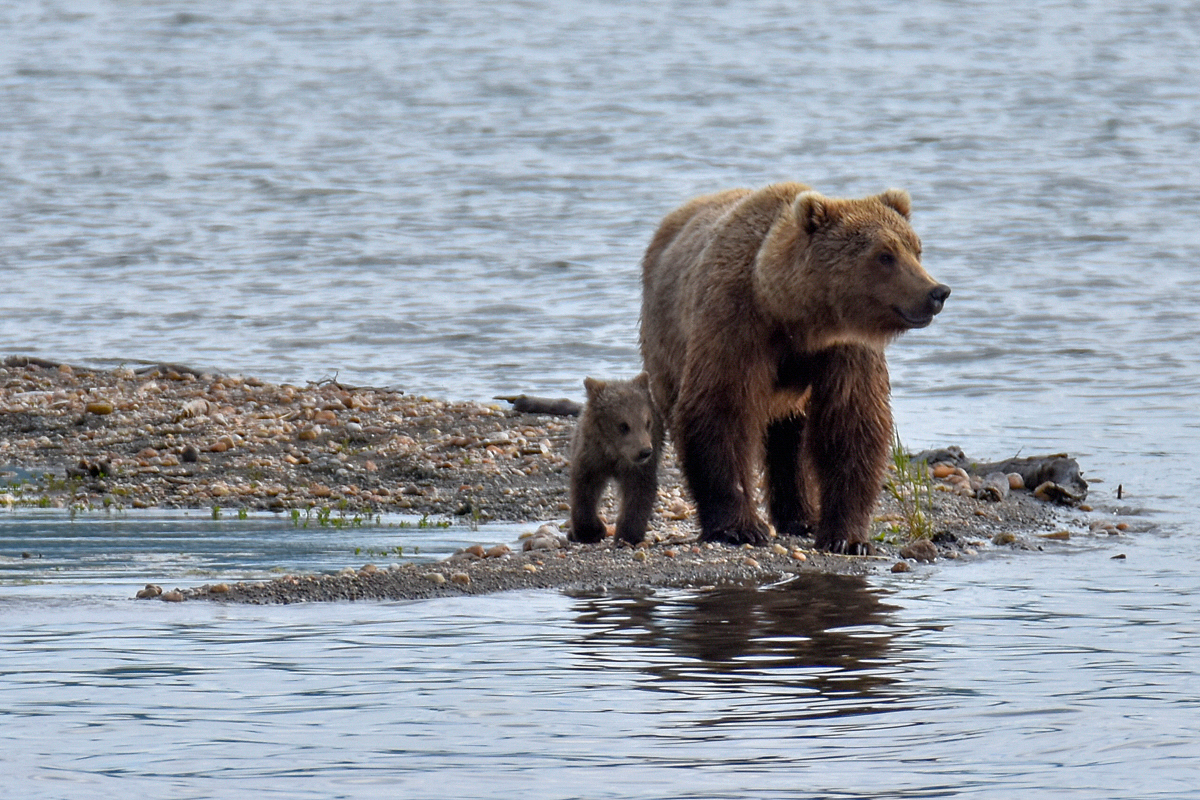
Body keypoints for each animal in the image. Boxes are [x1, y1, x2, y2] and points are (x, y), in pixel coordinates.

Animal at [643, 183, 950, 556]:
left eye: (915, 248)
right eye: (885, 255)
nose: (937, 292)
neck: (793, 317)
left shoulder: (845, 349)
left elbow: (851, 423)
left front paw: (847, 537)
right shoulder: (735, 327)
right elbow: (719, 411)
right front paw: (740, 528)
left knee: (791, 441)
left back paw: (802, 517)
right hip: (665, 339)